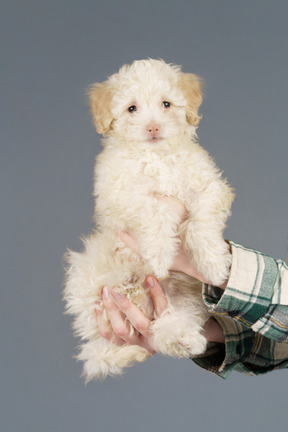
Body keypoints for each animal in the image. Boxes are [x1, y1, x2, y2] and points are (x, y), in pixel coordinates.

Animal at [63, 58, 234, 382]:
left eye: (166, 104)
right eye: (132, 108)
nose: (153, 126)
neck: (156, 156)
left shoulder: (209, 186)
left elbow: (201, 221)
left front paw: (214, 263)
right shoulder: (119, 197)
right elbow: (153, 209)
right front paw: (159, 253)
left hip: (185, 298)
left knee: (164, 326)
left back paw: (183, 338)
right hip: (90, 273)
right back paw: (132, 286)